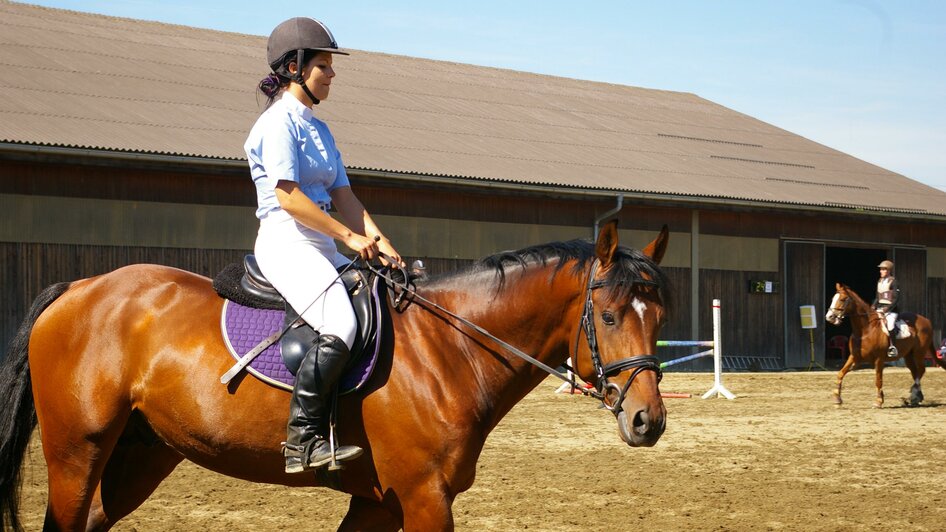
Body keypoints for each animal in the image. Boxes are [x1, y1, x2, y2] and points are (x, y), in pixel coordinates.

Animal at [0, 221, 668, 532]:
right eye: (609, 316)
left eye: (658, 316)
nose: (648, 422)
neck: (451, 348)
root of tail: (80, 287)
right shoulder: (424, 499)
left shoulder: (378, 502)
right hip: (76, 451)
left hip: (141, 454)